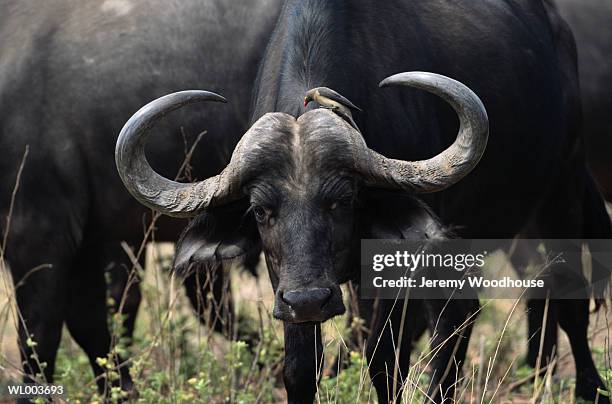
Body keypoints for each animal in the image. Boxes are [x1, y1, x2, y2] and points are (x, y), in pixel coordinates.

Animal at [117, 0, 608, 404]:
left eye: (342, 201)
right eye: (260, 211)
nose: (309, 300)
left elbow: (385, 361)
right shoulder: (285, 280)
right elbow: (300, 369)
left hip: (561, 191)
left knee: (563, 296)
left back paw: (588, 388)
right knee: (481, 307)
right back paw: (534, 374)